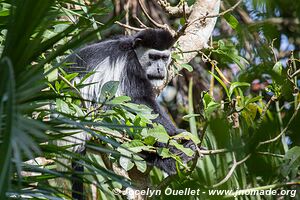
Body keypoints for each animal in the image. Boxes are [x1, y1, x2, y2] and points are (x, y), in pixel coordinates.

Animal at [67, 28, 196, 199]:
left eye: (164, 58)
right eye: (153, 57)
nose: (160, 69)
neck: (132, 48)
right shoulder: (130, 64)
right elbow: (140, 101)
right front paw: (178, 136)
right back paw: (169, 160)